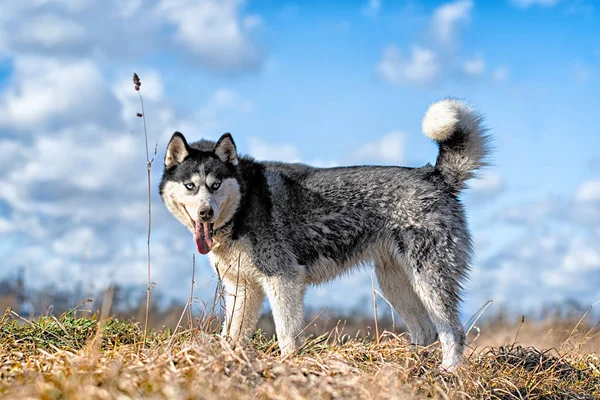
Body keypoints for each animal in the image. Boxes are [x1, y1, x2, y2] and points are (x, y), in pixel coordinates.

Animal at [159, 98, 488, 370]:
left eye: (215, 185)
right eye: (190, 186)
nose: (205, 213)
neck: (244, 202)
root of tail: (432, 175)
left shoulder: (283, 280)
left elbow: (287, 336)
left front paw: (288, 367)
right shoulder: (242, 288)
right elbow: (232, 336)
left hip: (429, 280)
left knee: (453, 332)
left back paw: (447, 373)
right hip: (395, 283)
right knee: (426, 331)